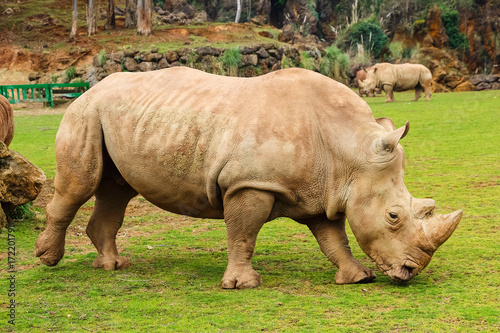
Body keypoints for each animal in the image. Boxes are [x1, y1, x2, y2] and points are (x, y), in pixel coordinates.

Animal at [36, 67, 460, 288]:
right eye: (393, 216)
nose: (410, 272)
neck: (348, 151)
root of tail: (90, 88)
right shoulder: (250, 183)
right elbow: (243, 234)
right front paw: (242, 284)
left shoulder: (324, 191)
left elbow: (333, 239)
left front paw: (357, 278)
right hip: (85, 113)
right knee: (82, 184)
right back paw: (49, 259)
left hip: (119, 117)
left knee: (115, 191)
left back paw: (112, 267)